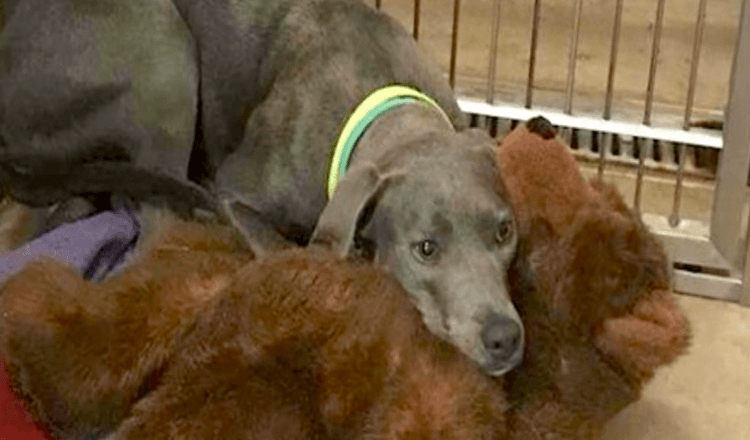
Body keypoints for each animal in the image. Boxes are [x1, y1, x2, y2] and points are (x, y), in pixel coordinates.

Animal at [0, 0, 524, 374]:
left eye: (505, 232)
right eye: (426, 249)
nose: (504, 338)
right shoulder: (234, 190)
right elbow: (283, 251)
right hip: (160, 52)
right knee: (154, 230)